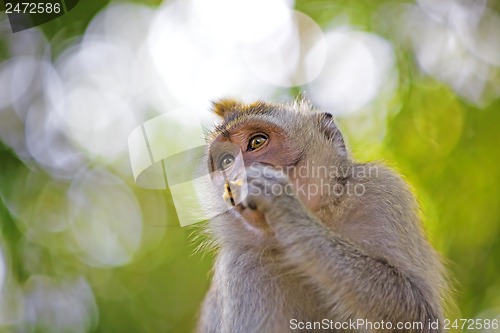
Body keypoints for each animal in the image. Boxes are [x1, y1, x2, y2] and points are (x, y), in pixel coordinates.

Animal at [194, 98, 446, 332]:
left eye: (256, 142)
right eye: (227, 161)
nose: (236, 175)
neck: (323, 215)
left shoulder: (383, 191)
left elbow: (418, 313)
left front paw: (286, 207)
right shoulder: (242, 264)